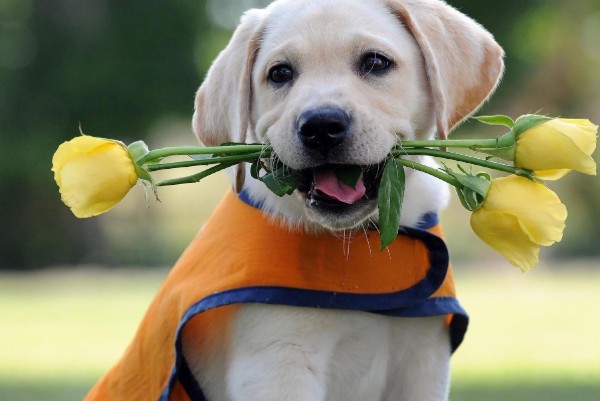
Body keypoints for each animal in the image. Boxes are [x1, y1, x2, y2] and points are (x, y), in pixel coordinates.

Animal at [83, 0, 502, 400]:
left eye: (376, 63)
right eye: (280, 73)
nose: (321, 126)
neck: (353, 244)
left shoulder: (423, 362)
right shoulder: (276, 363)